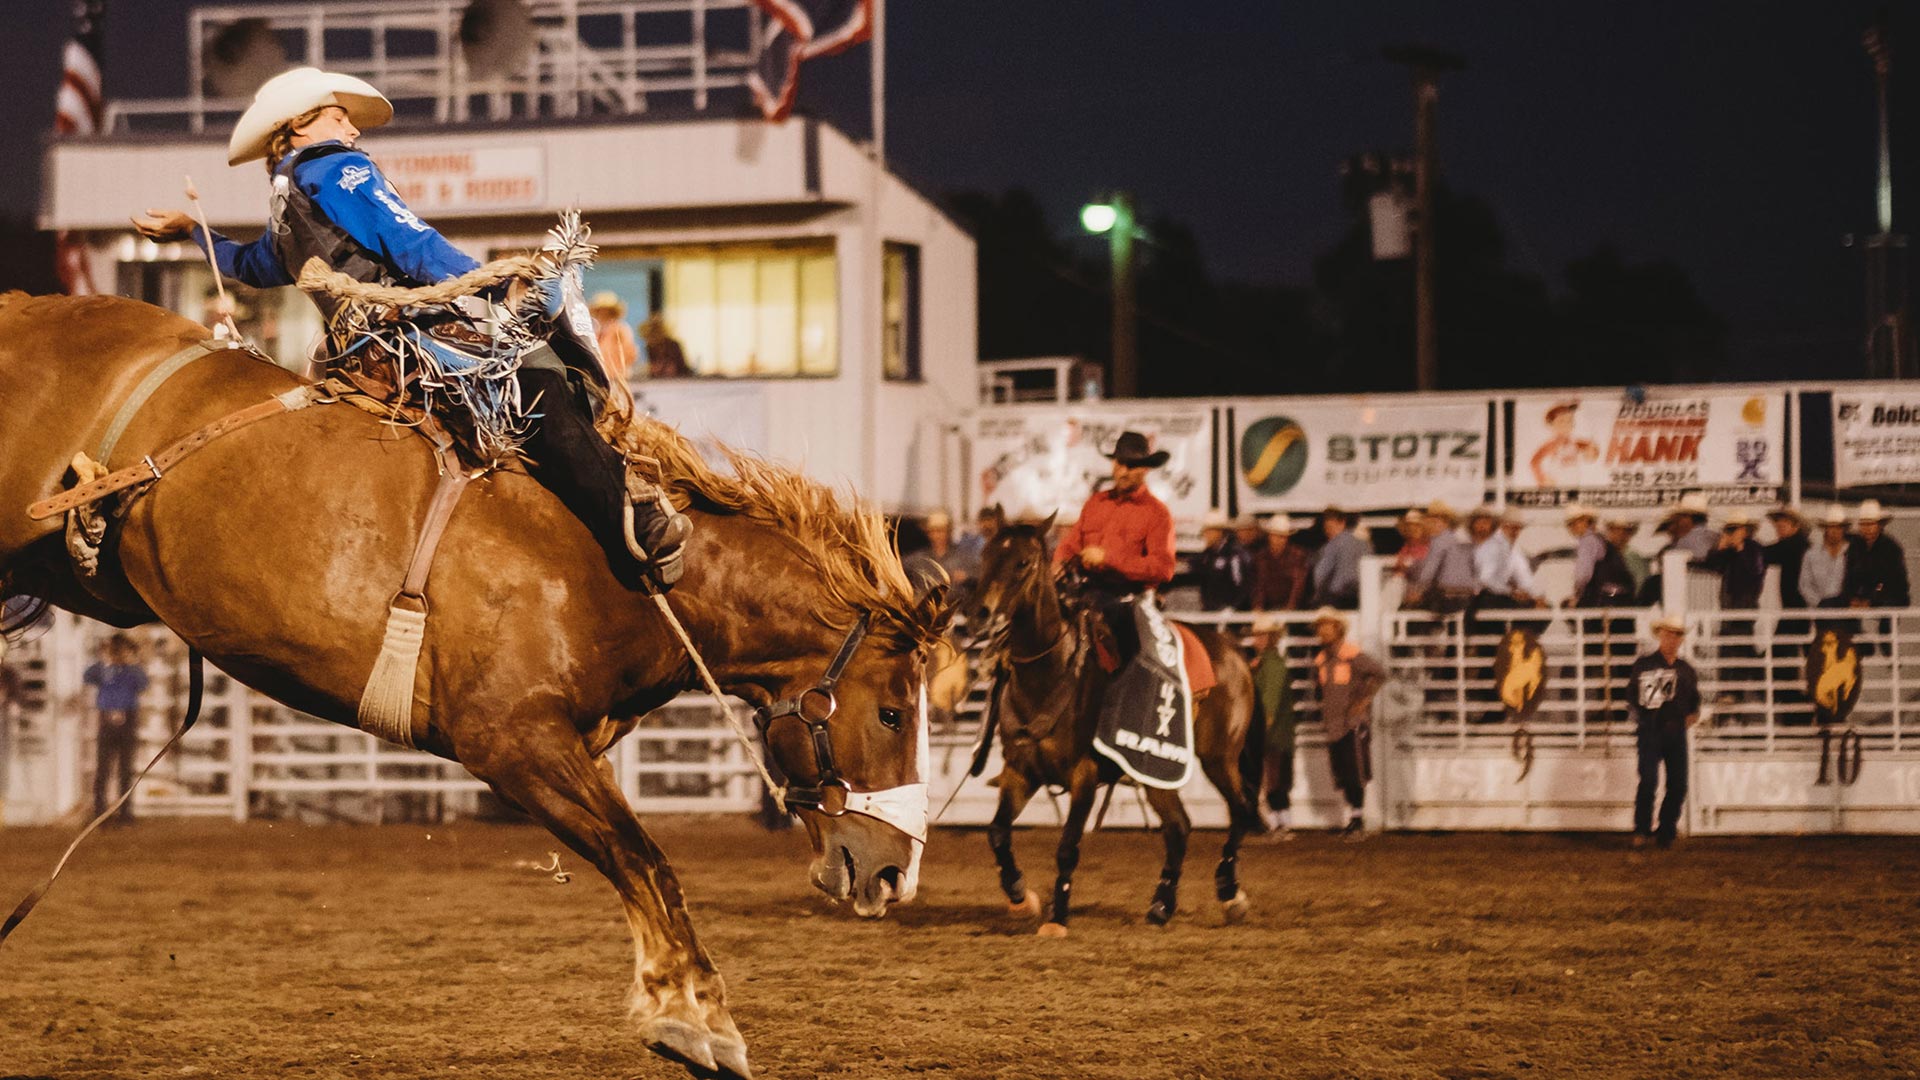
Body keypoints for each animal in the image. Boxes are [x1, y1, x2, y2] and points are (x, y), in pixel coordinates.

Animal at [0, 288, 948, 1076]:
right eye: (893, 712)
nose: (894, 875)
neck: (627, 562)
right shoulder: (513, 743)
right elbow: (644, 858)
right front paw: (695, 1022)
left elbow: (639, 859)